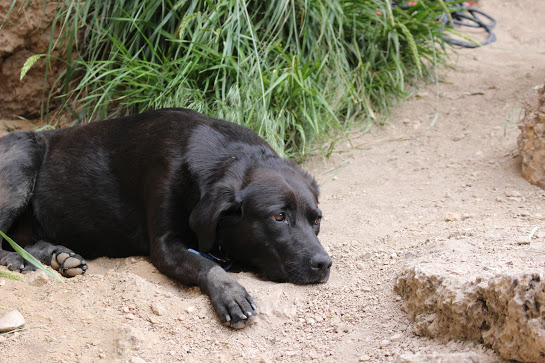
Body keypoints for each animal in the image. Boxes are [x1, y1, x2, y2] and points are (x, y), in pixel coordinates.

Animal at [0, 108, 330, 330]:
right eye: (278, 217)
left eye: (316, 220)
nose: (324, 264)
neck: (226, 157)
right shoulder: (164, 245)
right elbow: (206, 265)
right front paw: (231, 293)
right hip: (23, 158)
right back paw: (19, 260)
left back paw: (57, 256)